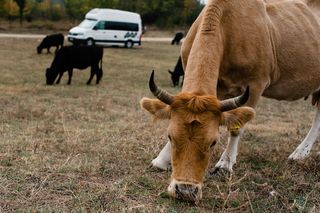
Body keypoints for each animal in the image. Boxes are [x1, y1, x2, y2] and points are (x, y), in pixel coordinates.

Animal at [141, 0, 320, 202]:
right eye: (170, 136)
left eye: (213, 142)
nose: (186, 191)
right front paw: (161, 159)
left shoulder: (256, 84)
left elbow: (237, 128)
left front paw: (225, 163)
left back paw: (300, 153)